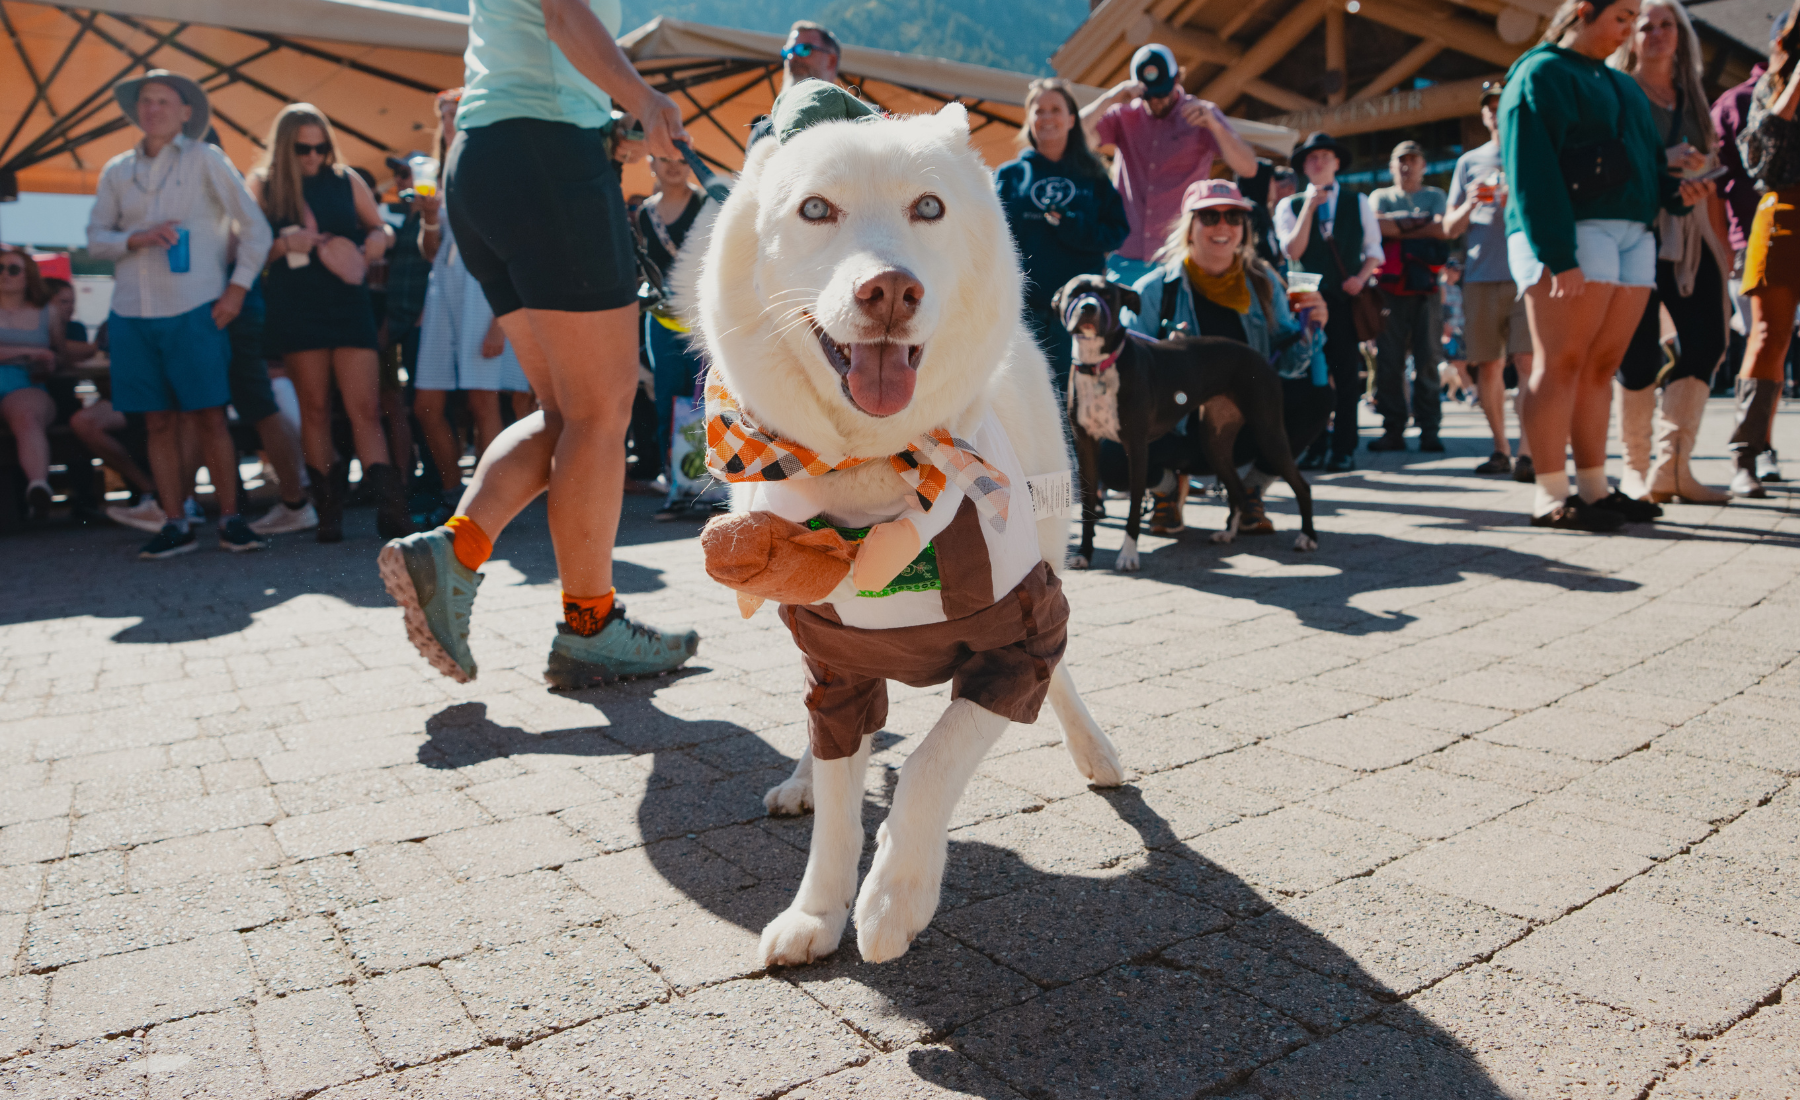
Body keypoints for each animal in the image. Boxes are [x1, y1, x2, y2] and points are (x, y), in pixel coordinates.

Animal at [1051, 273, 1317, 568]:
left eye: (1107, 295)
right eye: (1075, 292)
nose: (1088, 307)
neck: (1100, 365)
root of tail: (1260, 356)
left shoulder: (1136, 447)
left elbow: (1133, 508)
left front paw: (1128, 555)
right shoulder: (1085, 446)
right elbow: (1087, 507)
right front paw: (1084, 554)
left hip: (1268, 432)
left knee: (1302, 486)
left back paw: (1307, 537)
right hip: (1214, 441)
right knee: (1235, 488)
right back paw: (1228, 533)